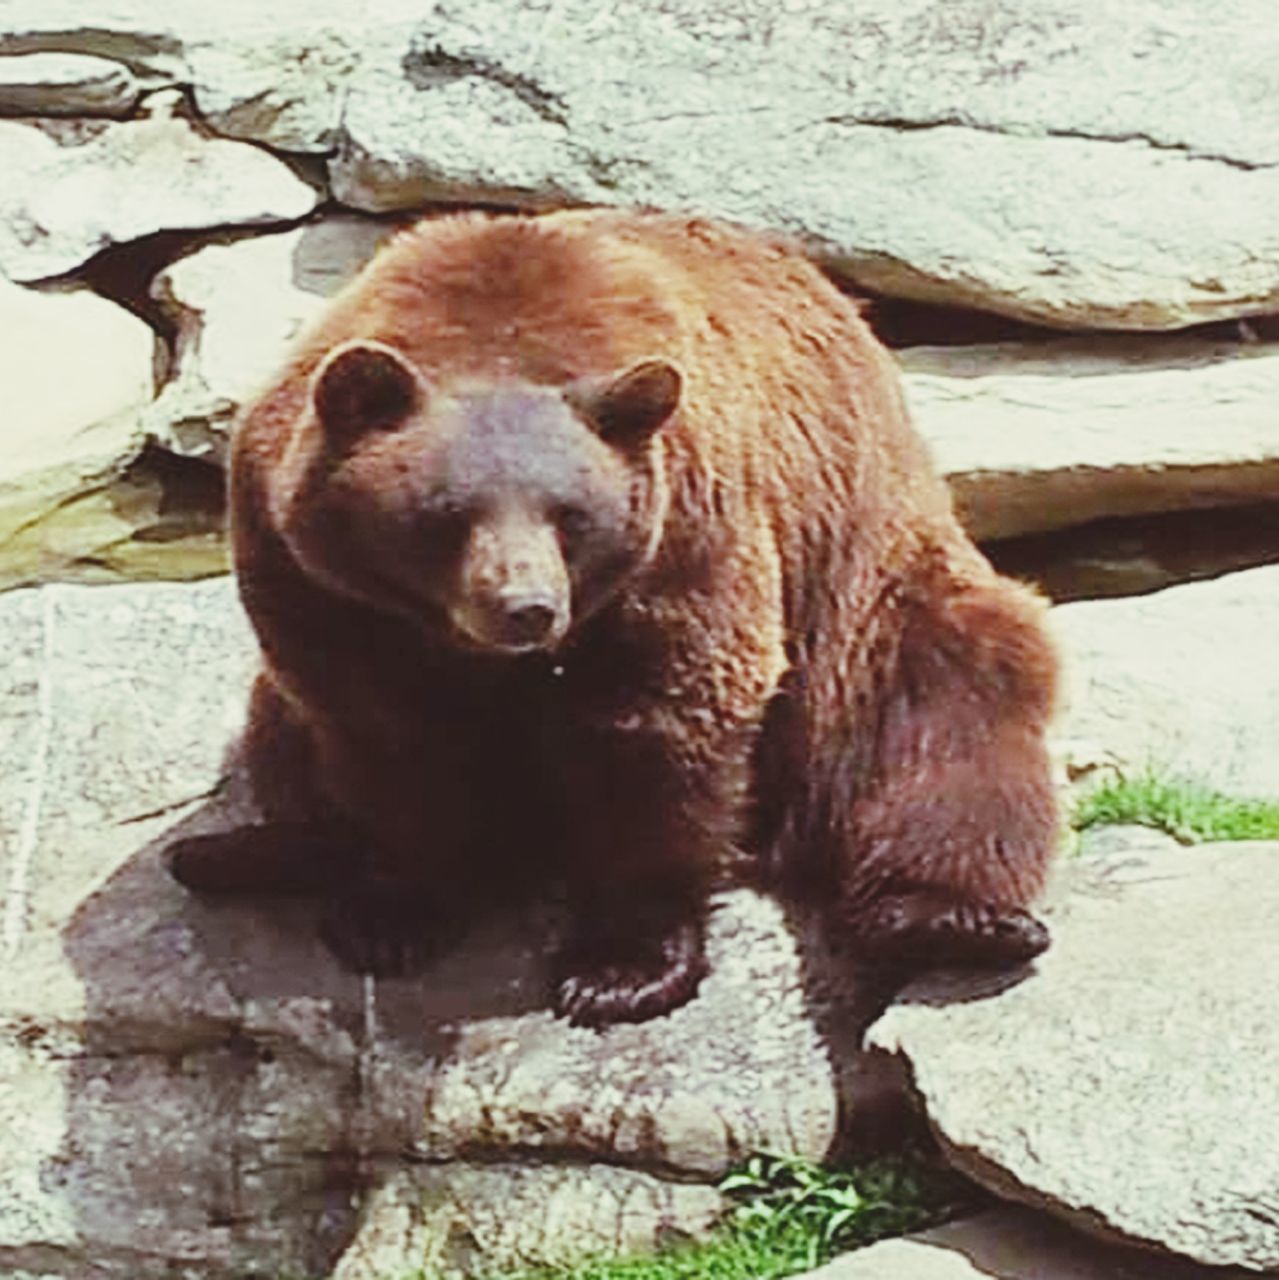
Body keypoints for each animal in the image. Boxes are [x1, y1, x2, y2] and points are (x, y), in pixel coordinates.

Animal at [175, 209, 1065, 1029]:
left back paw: (952, 918)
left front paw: (620, 970)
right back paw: (240, 853)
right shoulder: (324, 585)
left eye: (568, 513)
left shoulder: (684, 538)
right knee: (276, 736)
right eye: (447, 513)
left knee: (949, 705)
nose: (526, 608)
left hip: (862, 593)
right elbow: (384, 737)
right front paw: (392, 915)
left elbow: (660, 730)